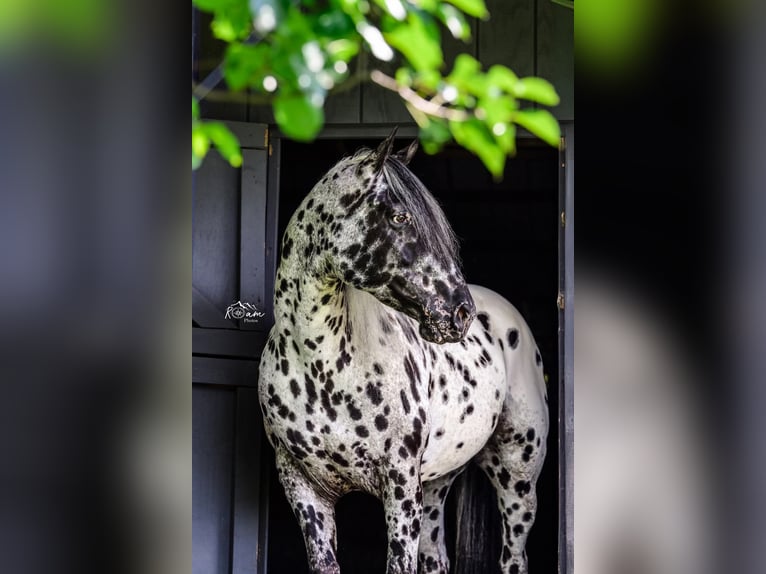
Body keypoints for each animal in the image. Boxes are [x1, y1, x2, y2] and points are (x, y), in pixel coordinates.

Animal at [258, 129, 549, 574]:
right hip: (435, 484)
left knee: (513, 556)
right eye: (399, 217)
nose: (461, 313)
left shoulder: (400, 486)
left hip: (517, 480)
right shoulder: (303, 488)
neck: (322, 365)